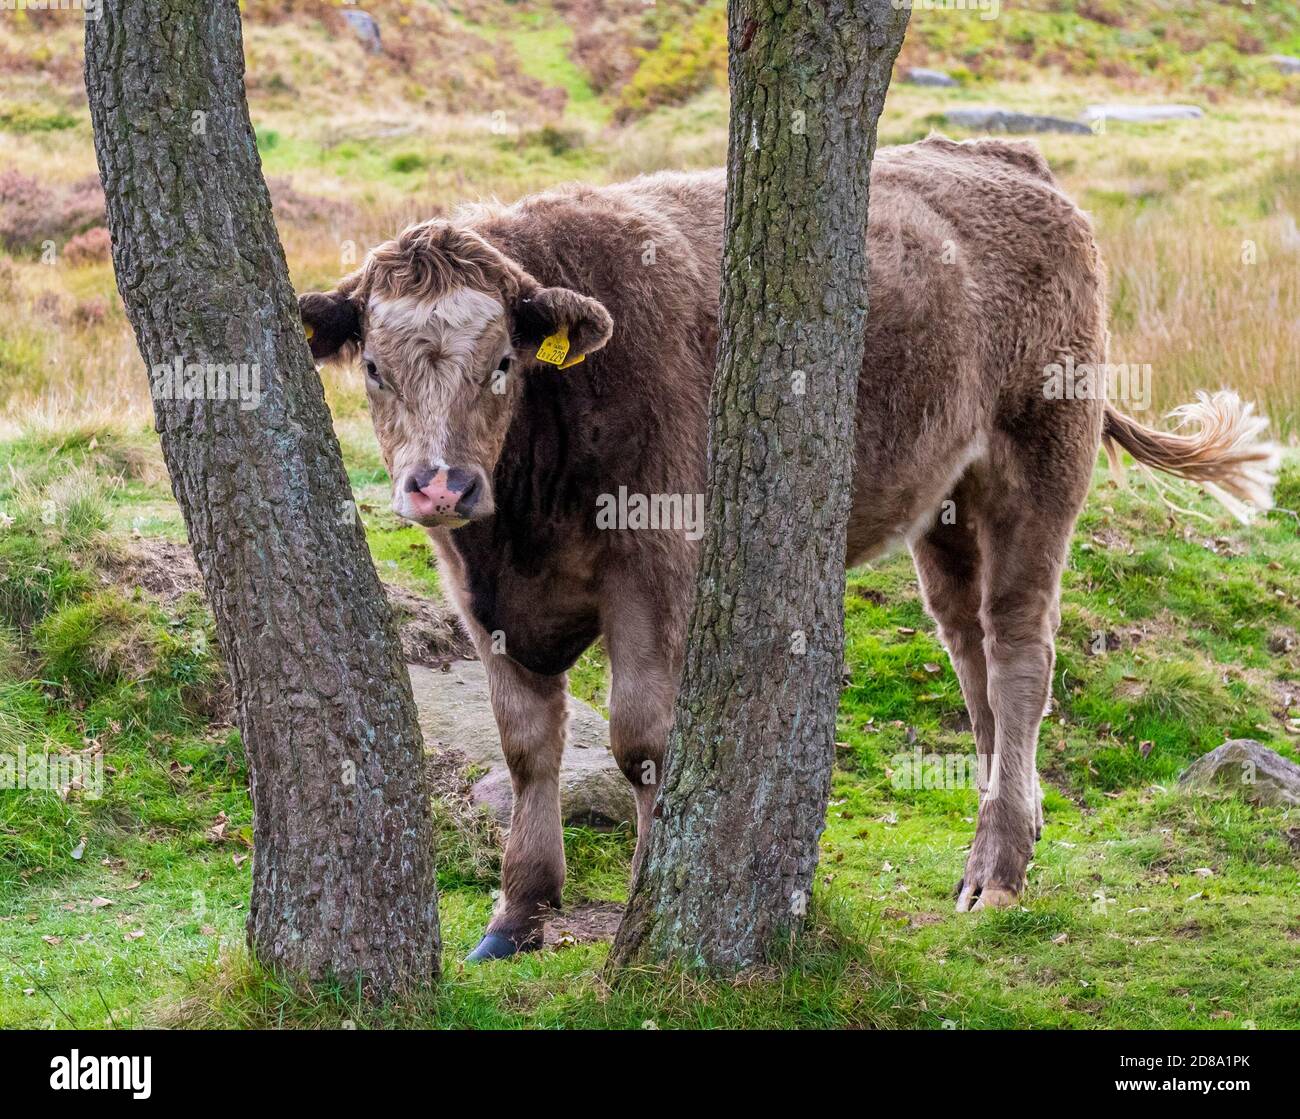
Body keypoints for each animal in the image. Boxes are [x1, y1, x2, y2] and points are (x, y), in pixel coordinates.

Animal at [297, 135, 1279, 956]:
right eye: (375, 368)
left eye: (503, 361)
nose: (439, 486)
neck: (521, 519)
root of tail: (1004, 158)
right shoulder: (481, 593)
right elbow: (527, 745)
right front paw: (518, 913)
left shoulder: (657, 564)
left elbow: (640, 739)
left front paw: (647, 892)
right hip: (945, 505)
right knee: (970, 657)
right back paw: (1008, 830)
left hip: (1039, 462)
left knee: (1019, 653)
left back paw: (996, 872)